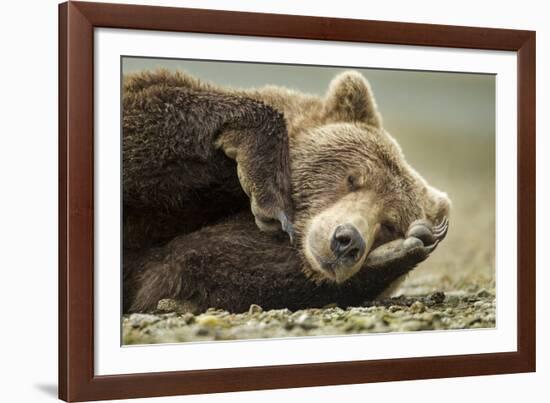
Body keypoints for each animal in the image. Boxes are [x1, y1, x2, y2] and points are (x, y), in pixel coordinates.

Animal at [122, 70, 452, 316]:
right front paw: (267, 191)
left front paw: (399, 252)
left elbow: (178, 270)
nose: (346, 241)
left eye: (390, 224)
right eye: (352, 178)